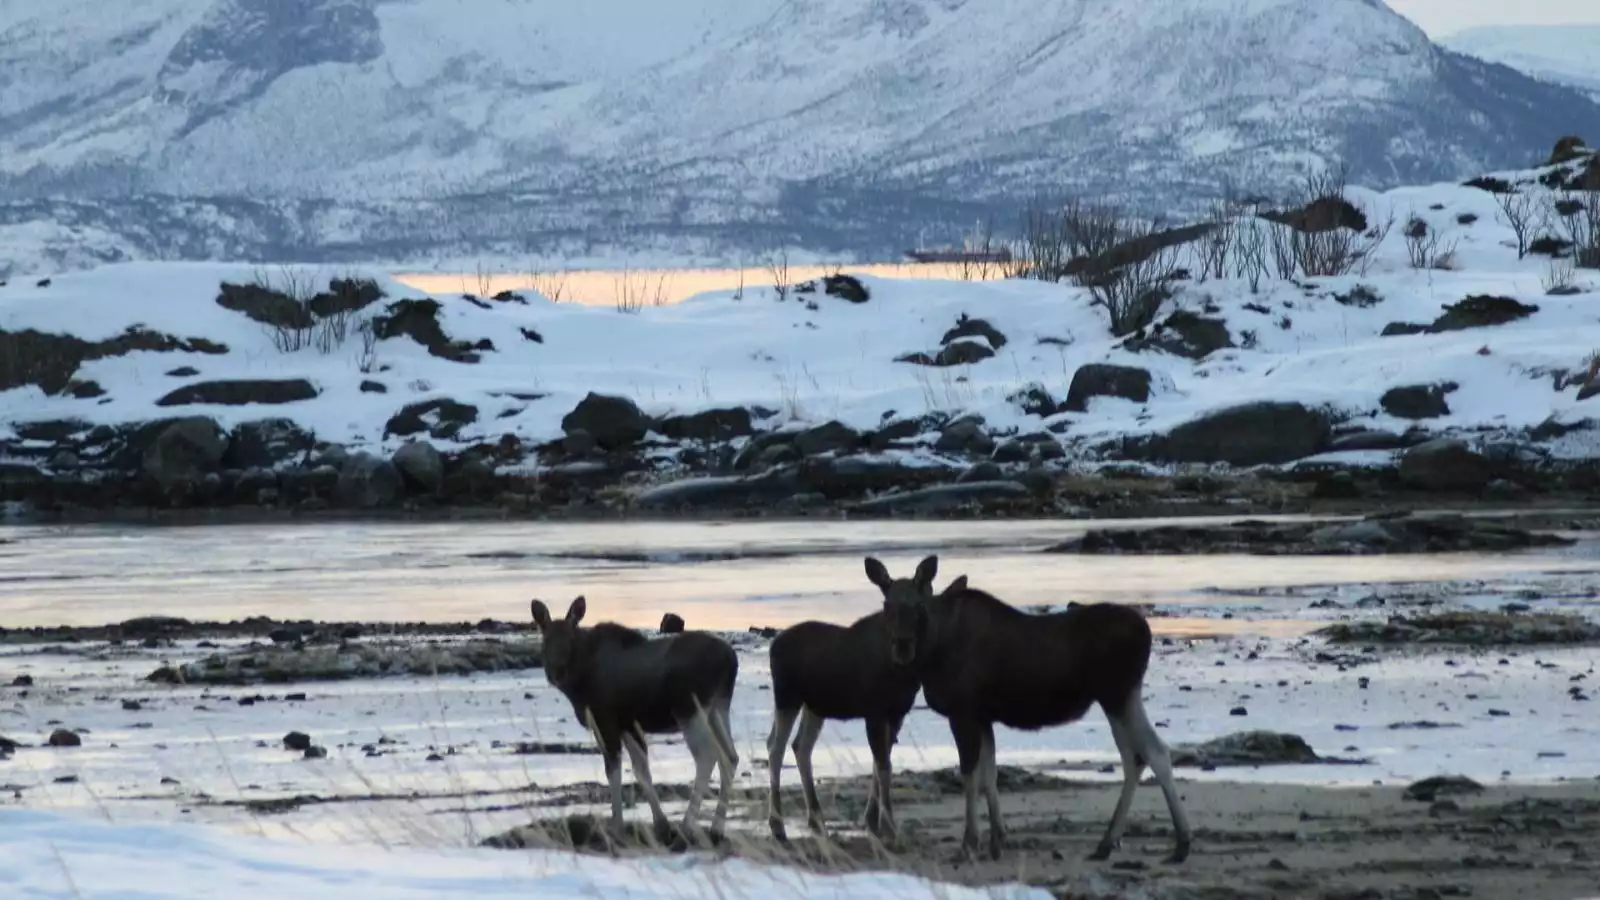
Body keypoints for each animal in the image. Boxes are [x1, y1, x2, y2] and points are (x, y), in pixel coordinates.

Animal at [534, 595, 739, 832]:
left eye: (570, 640)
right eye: (545, 640)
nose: (556, 672)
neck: (578, 684)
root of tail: (731, 660)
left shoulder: (606, 722)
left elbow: (613, 772)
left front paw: (617, 822)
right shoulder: (628, 725)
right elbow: (642, 771)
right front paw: (660, 821)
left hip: (689, 710)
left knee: (707, 756)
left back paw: (688, 822)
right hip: (718, 707)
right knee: (730, 757)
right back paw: (717, 826)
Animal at [761, 602, 928, 839]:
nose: (905, 645)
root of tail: (773, 647)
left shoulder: (897, 713)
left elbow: (880, 762)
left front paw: (872, 820)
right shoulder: (876, 711)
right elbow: (883, 764)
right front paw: (881, 824)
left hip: (814, 706)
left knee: (800, 745)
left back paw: (816, 819)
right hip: (787, 696)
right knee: (776, 746)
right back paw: (778, 824)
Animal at [864, 554, 1190, 864]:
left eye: (919, 605)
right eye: (886, 604)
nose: (902, 646)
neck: (933, 650)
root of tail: (1146, 632)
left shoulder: (964, 712)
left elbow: (970, 776)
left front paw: (969, 844)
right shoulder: (983, 716)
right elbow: (990, 775)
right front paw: (997, 841)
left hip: (1117, 694)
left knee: (1154, 751)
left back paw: (1181, 844)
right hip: (1118, 697)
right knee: (1134, 757)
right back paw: (1107, 843)